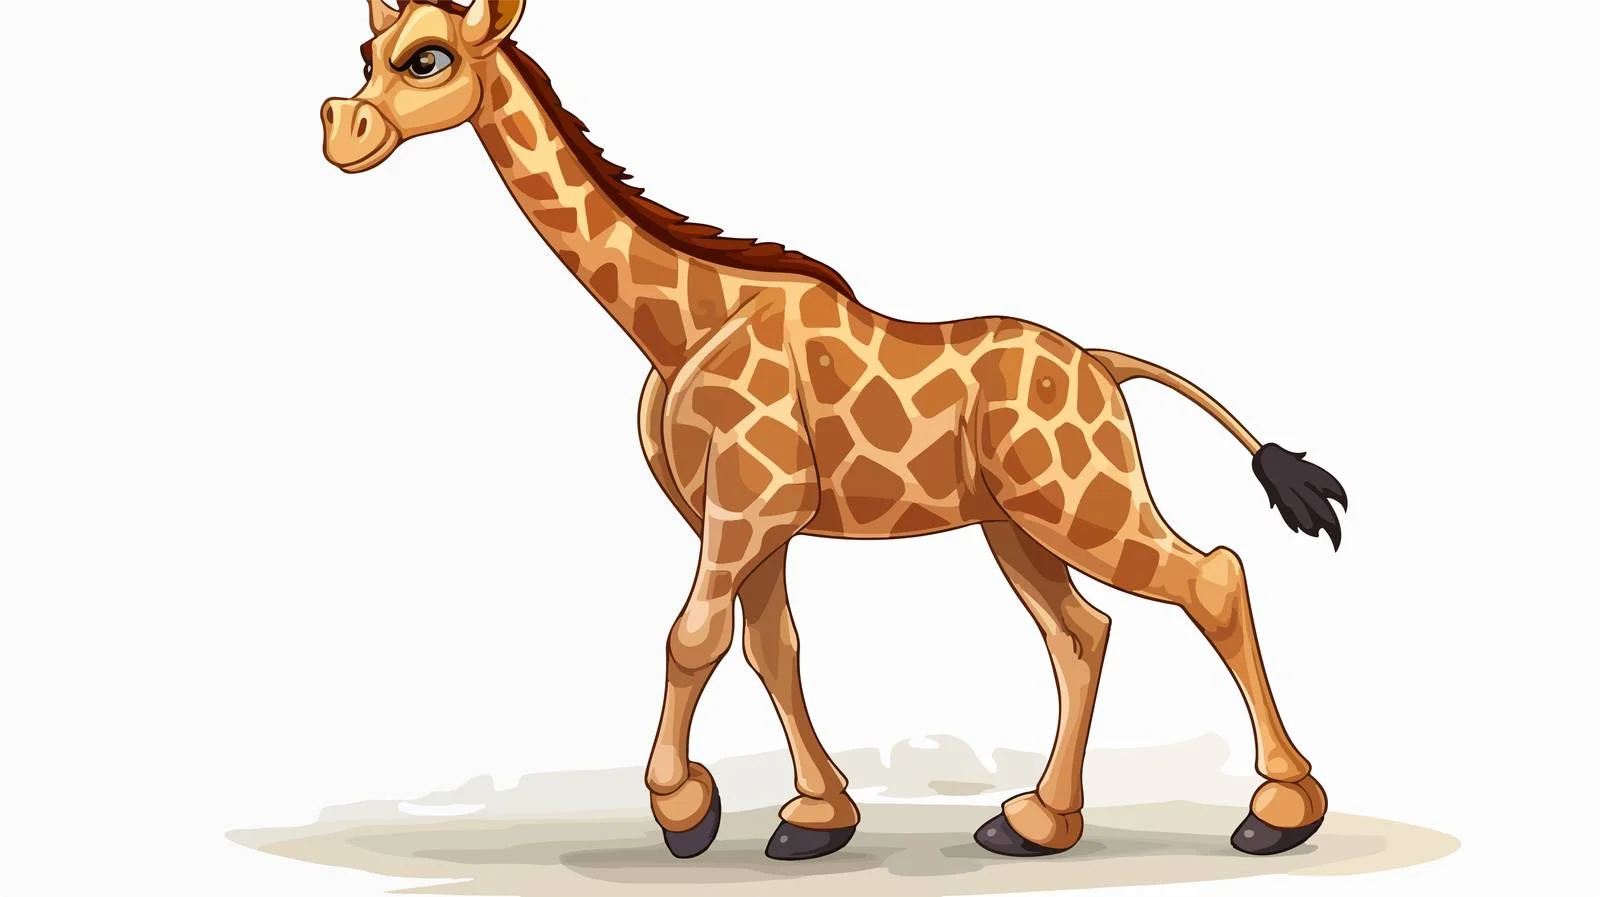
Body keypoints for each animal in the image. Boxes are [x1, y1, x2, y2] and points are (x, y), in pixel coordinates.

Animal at [322, 0, 1347, 863]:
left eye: (427, 58)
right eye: (367, 52)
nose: (342, 132)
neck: (681, 325)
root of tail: (1103, 362)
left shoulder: (752, 506)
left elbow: (693, 636)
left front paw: (685, 810)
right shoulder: (743, 518)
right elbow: (772, 647)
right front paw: (816, 818)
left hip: (1078, 500)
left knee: (1210, 577)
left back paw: (1277, 812)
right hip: (1015, 522)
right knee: (1082, 631)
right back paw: (1036, 821)